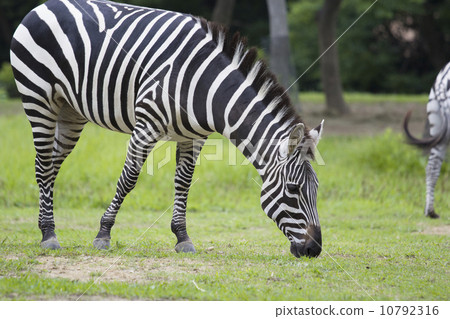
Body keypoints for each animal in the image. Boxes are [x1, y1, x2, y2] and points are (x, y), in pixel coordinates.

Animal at [9, 0, 324, 258]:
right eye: (293, 189)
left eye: (316, 189)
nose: (314, 250)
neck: (204, 84)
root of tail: (42, 6)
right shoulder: (145, 125)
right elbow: (129, 179)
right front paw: (103, 234)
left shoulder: (194, 137)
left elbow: (183, 183)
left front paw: (182, 238)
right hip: (38, 98)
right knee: (43, 165)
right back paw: (49, 235)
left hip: (70, 111)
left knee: (51, 165)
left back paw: (46, 227)